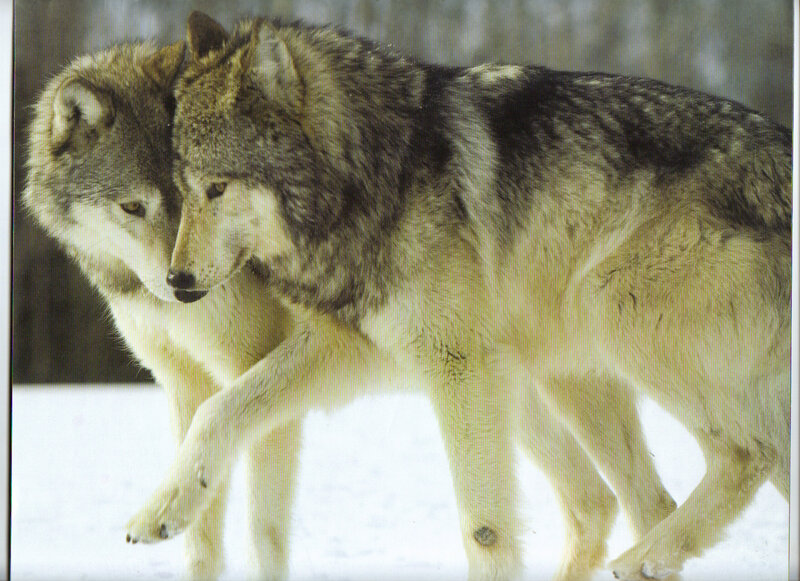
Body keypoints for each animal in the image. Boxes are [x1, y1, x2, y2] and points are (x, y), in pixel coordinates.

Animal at [22, 34, 678, 581]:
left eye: (201, 195)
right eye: (134, 207)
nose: (181, 285)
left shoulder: (270, 369)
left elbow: (260, 522)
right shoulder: (185, 383)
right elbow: (202, 536)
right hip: (516, 395)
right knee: (603, 502)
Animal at [124, 12, 790, 581]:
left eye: (217, 188)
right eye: (182, 189)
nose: (177, 283)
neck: (376, 172)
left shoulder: (459, 366)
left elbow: (484, 528)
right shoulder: (356, 347)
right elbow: (219, 408)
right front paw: (162, 510)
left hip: (609, 310)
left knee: (743, 457)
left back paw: (642, 558)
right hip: (571, 375)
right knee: (657, 498)